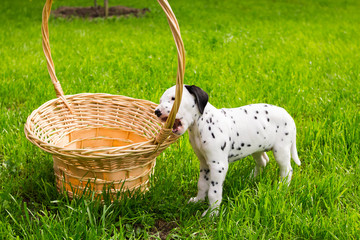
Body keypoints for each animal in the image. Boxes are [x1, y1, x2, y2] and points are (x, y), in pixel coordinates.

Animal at [153, 85, 300, 217]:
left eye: (174, 98)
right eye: (160, 100)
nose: (157, 111)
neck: (201, 125)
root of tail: (287, 115)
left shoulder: (218, 166)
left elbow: (213, 192)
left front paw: (212, 213)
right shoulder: (204, 164)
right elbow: (202, 184)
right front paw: (198, 200)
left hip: (281, 151)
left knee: (287, 170)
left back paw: (281, 188)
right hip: (257, 148)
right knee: (263, 161)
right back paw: (251, 179)